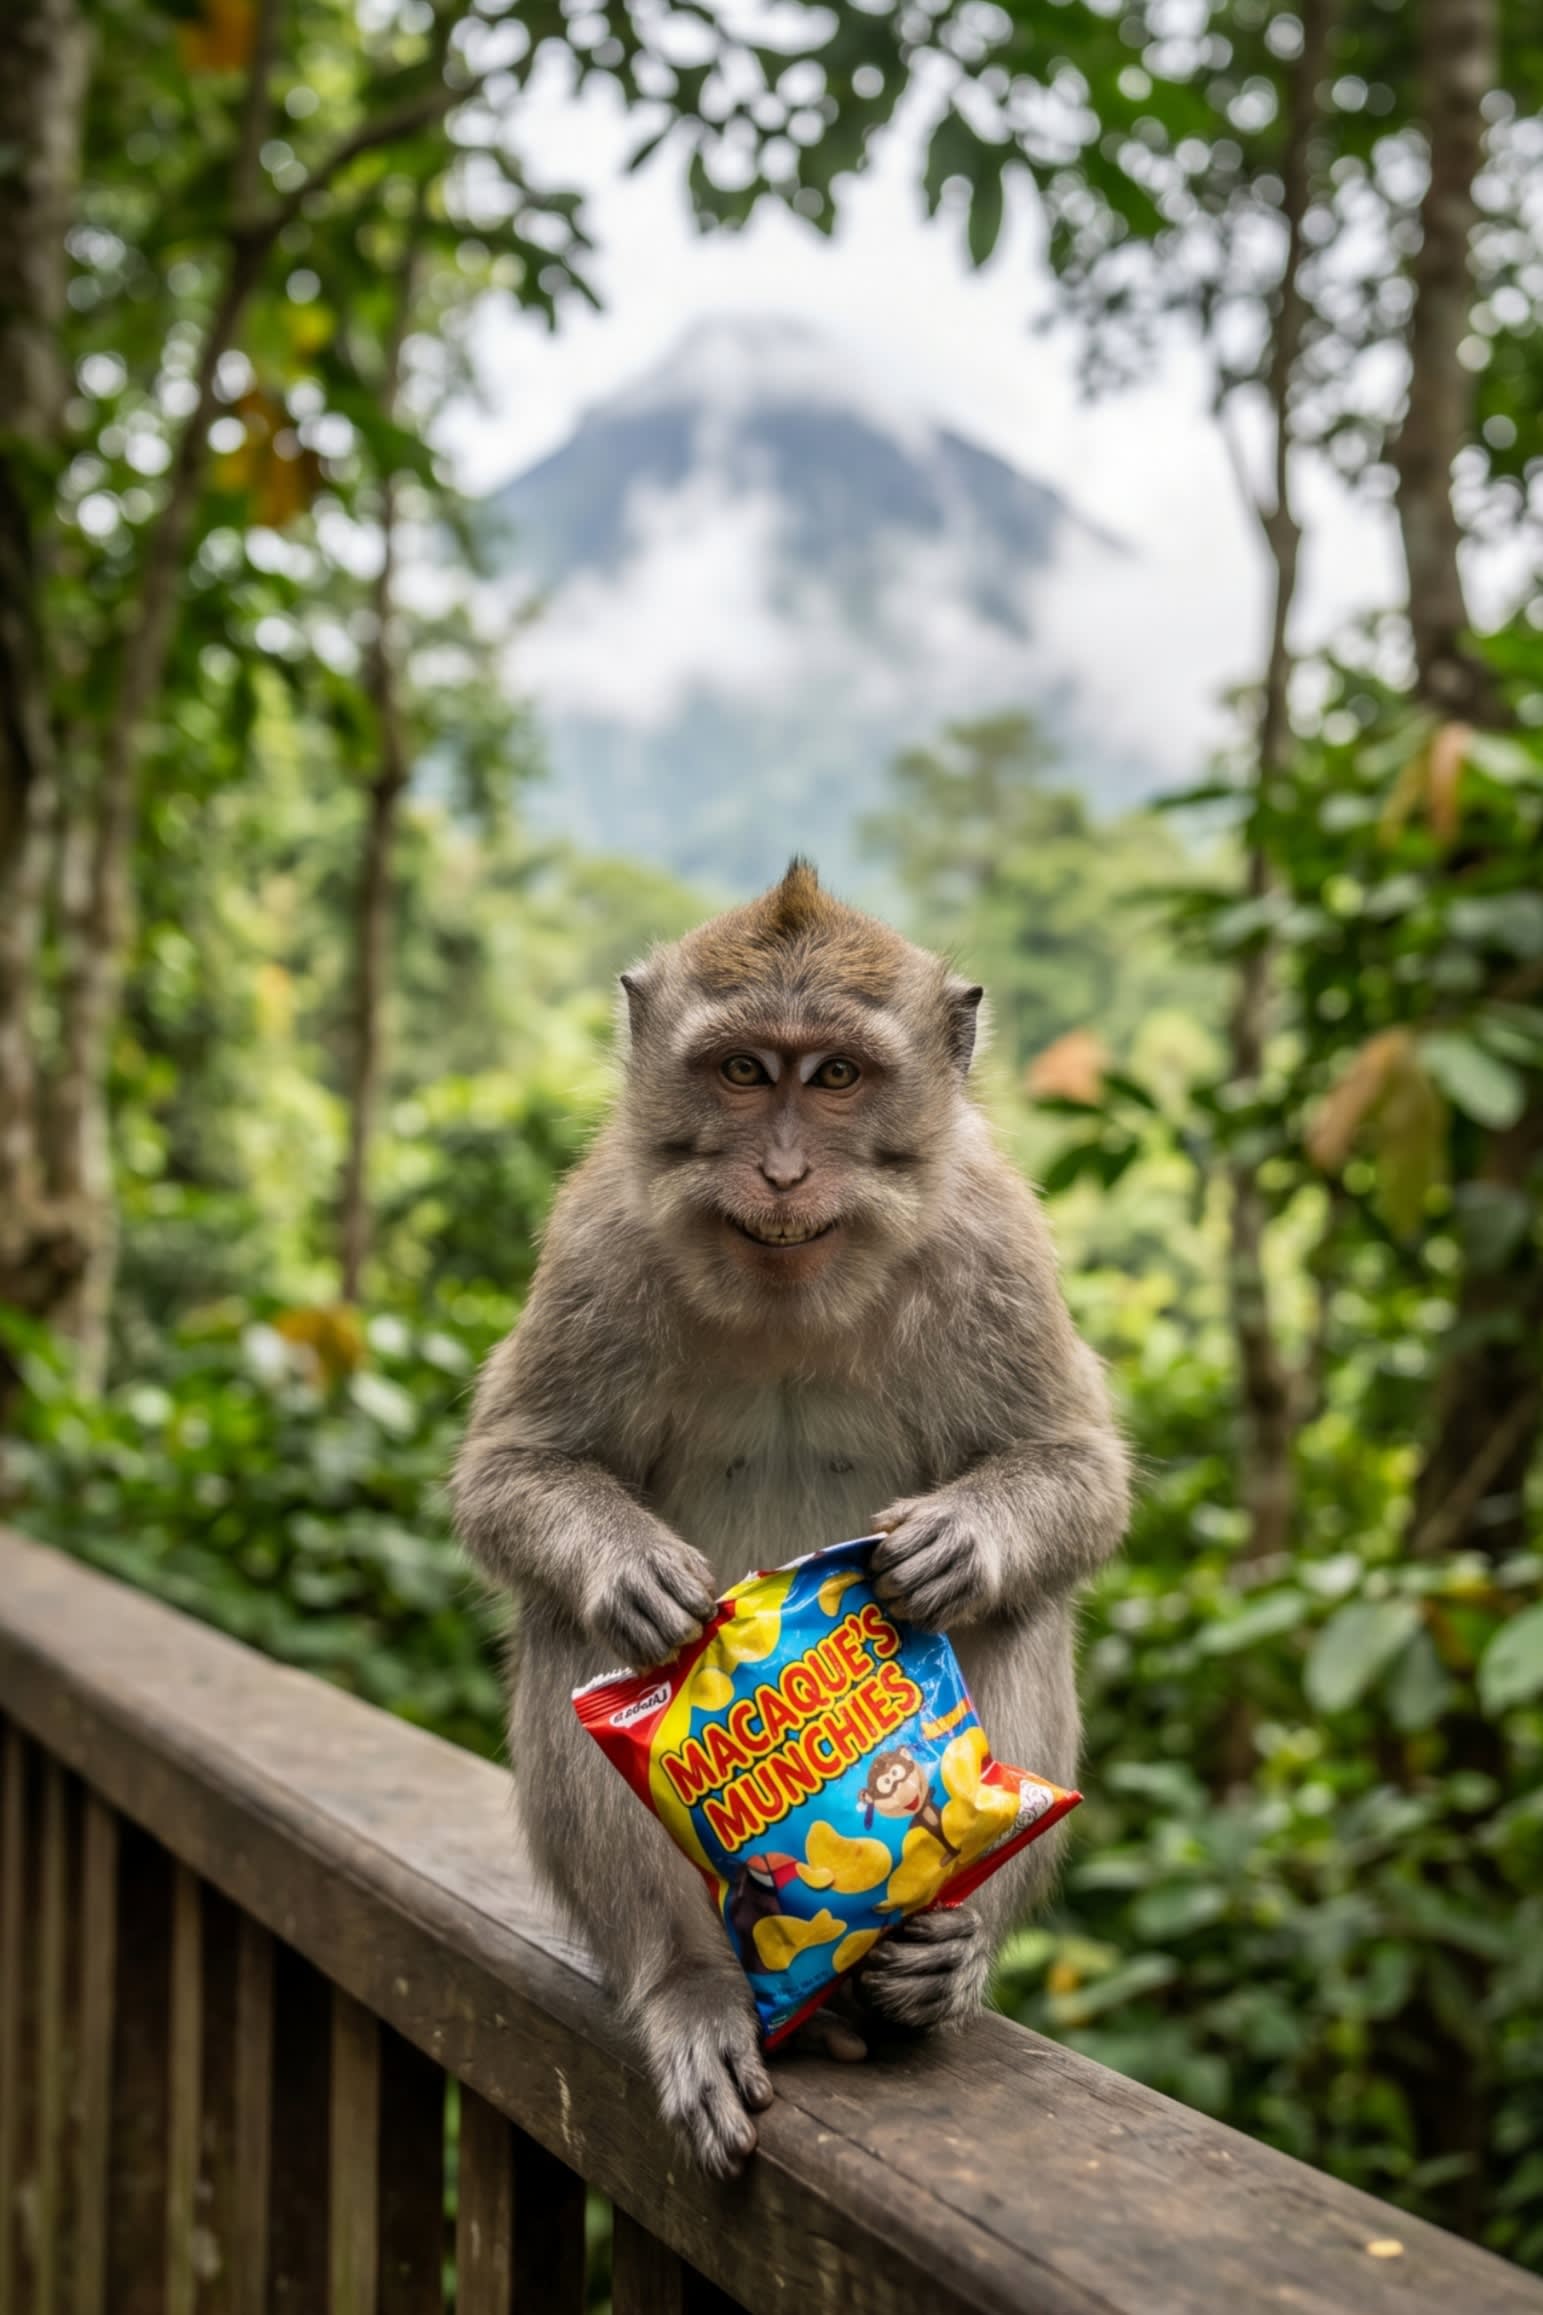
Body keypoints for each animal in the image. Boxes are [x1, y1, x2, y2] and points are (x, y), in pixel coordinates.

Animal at [452, 859, 1130, 2181]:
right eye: (739, 1070)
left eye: (835, 1077)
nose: (778, 1174)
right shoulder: (597, 1241)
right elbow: (512, 1467)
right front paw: (629, 1569)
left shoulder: (992, 1240)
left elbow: (1076, 1466)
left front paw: (961, 1543)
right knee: (579, 1636)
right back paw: (690, 1983)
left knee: (1020, 1613)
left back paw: (933, 1960)